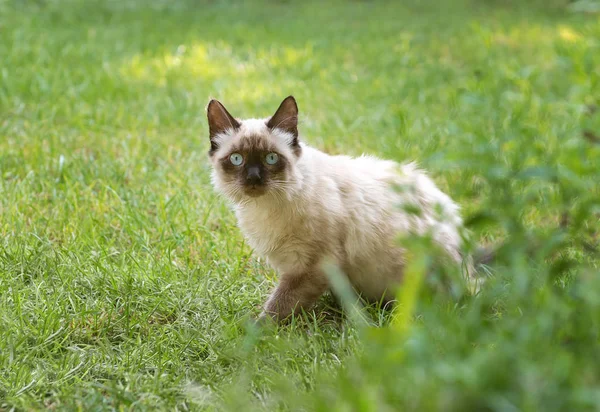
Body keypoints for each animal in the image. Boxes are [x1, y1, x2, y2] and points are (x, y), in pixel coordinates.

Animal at [206, 96, 474, 322]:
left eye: (270, 158)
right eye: (237, 159)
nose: (253, 179)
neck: (263, 208)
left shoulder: (310, 268)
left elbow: (277, 307)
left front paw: (251, 333)